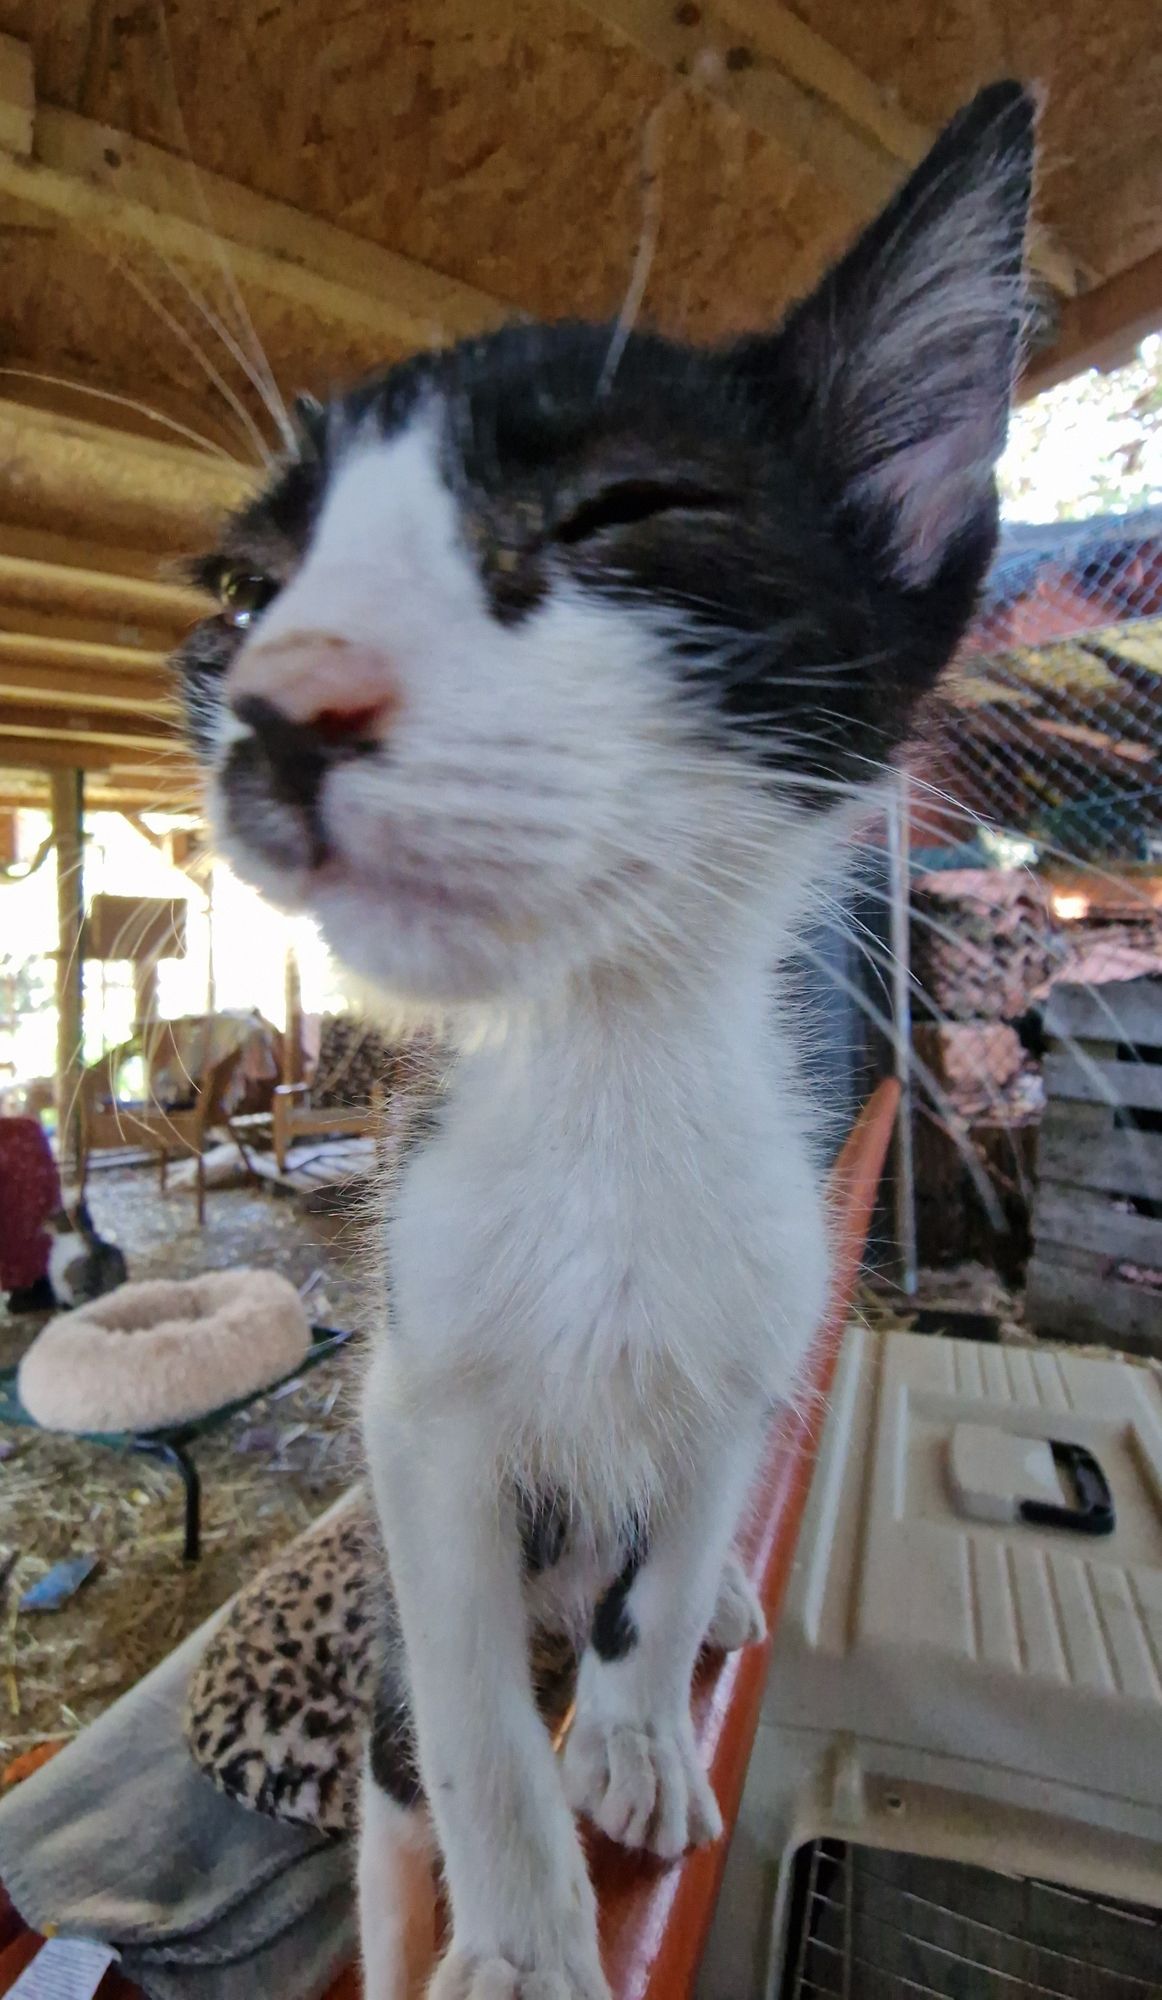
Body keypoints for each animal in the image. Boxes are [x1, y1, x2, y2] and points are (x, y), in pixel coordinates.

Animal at [179, 86, 1032, 2000]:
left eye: (627, 507)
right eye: (248, 590)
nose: (282, 698)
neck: (603, 1075)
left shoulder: (759, 1311)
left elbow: (682, 1521)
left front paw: (635, 1733)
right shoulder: (416, 1402)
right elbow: (461, 1729)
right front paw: (510, 1935)